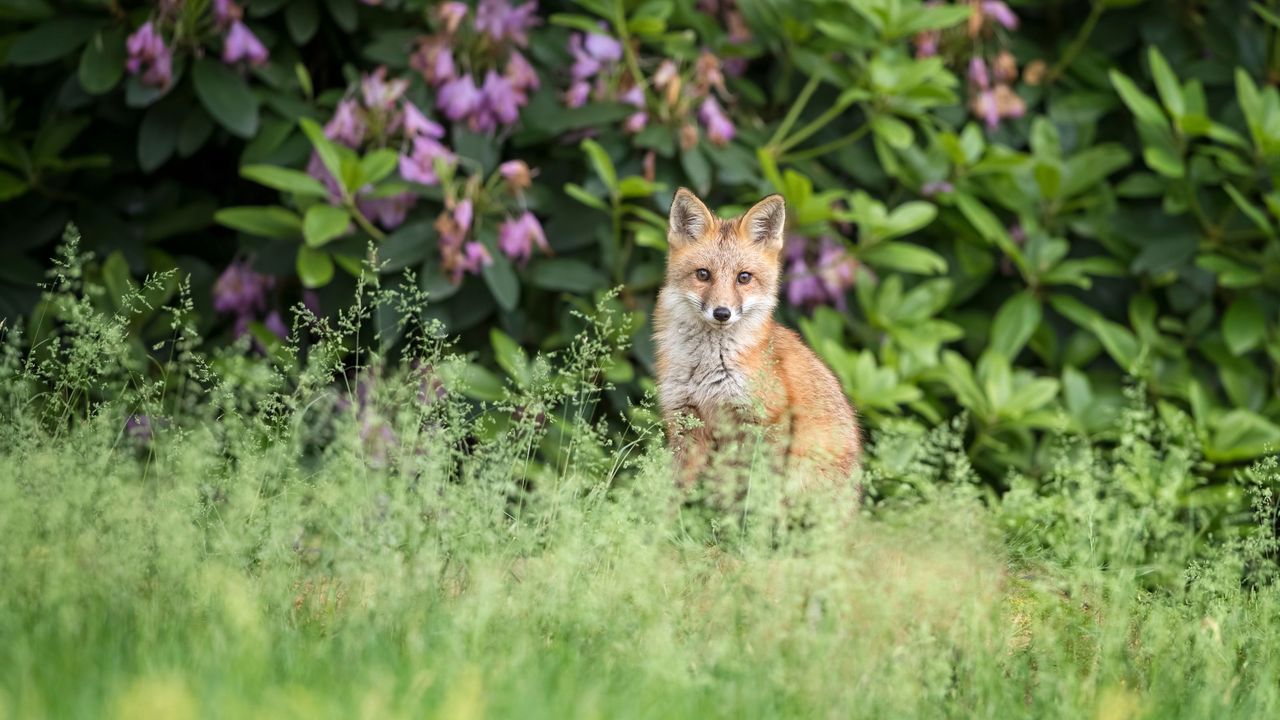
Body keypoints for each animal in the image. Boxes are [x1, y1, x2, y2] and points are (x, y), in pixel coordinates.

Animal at [655, 185, 865, 491]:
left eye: (744, 277)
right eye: (703, 274)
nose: (722, 313)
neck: (707, 368)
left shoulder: (765, 421)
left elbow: (754, 493)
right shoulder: (685, 419)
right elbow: (676, 494)